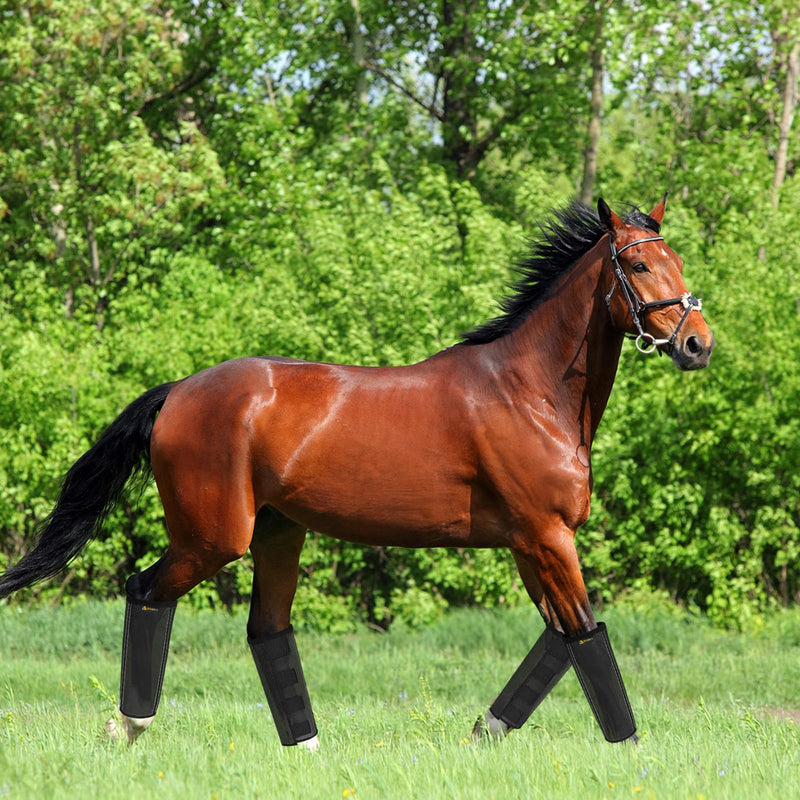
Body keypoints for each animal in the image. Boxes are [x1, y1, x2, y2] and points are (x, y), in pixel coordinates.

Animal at [0, 196, 714, 750]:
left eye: (677, 261)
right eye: (638, 263)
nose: (697, 344)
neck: (530, 391)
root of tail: (178, 392)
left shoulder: (528, 544)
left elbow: (562, 638)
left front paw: (484, 733)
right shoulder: (546, 536)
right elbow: (586, 635)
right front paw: (633, 753)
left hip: (278, 533)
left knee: (267, 631)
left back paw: (308, 752)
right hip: (212, 538)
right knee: (146, 591)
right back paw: (127, 727)